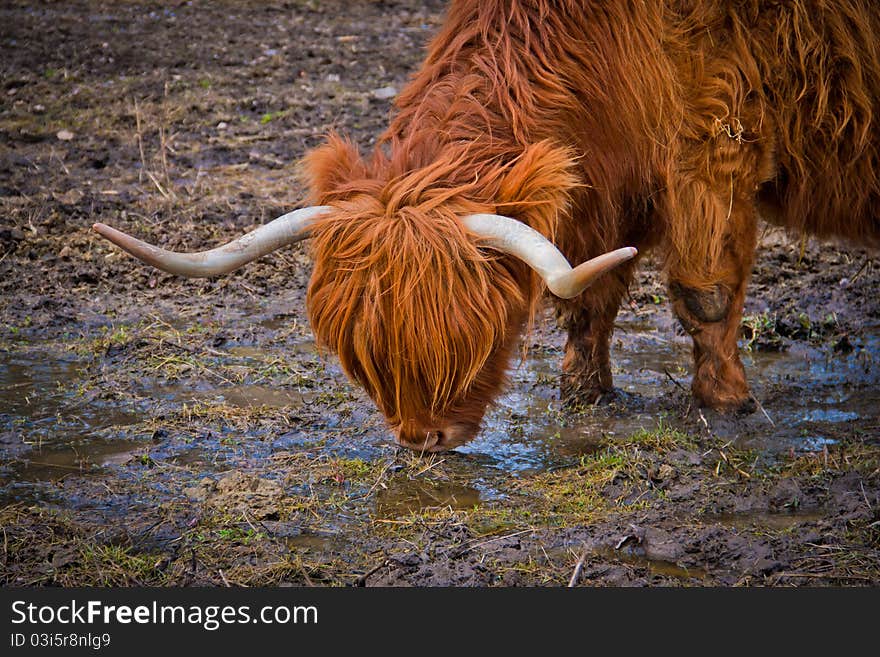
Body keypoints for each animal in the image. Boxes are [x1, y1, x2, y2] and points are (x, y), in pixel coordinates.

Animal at [94, 0, 880, 452]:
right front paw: (584, 395)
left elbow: (704, 293)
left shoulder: (718, 149)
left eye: (469, 341)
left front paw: (726, 401)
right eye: (362, 356)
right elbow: (586, 294)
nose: (424, 440)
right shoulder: (606, 186)